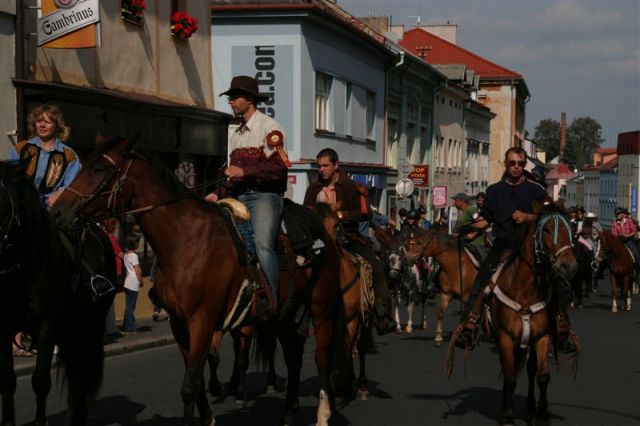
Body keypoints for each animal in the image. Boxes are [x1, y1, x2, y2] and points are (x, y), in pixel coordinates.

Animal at [0, 161, 114, 426]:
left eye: (4, 202)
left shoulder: (47, 325)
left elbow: (40, 380)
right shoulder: (4, 328)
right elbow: (8, 381)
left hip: (88, 325)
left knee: (81, 368)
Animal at [50, 137, 350, 426]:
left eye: (99, 168)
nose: (57, 211)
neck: (187, 241)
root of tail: (324, 231)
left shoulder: (202, 321)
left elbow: (190, 385)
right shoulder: (179, 323)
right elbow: (196, 381)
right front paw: (208, 418)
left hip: (321, 308)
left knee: (320, 356)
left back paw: (323, 414)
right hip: (283, 314)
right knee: (294, 353)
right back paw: (288, 414)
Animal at [448, 201, 576, 426]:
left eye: (570, 229)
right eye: (547, 230)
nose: (568, 266)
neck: (525, 291)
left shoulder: (542, 337)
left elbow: (542, 376)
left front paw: (542, 416)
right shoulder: (505, 338)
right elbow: (509, 378)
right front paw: (507, 416)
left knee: (532, 369)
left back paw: (531, 408)